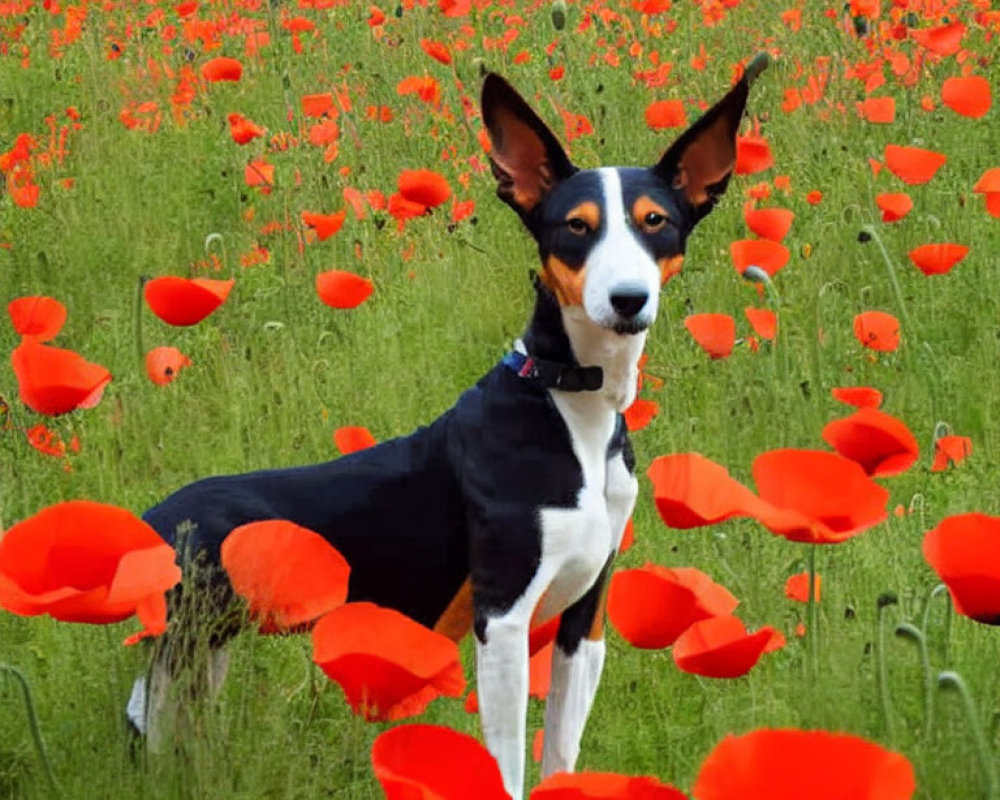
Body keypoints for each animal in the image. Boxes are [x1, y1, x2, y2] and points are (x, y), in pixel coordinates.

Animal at [125, 65, 764, 800]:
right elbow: (508, 764)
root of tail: (148, 520)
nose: (627, 300)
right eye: (575, 227)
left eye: (655, 222)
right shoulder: (504, 619)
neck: (572, 405)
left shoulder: (584, 622)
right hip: (184, 644)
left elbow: (560, 755)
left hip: (205, 651)